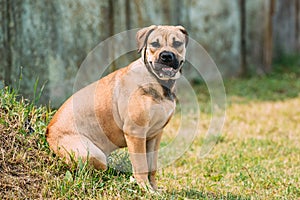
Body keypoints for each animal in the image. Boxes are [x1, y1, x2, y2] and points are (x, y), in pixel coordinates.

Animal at [45, 25, 188, 191]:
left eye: (177, 43)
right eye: (154, 44)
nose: (166, 56)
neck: (158, 82)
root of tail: (48, 131)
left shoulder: (155, 135)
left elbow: (152, 167)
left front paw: (154, 188)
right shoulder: (135, 133)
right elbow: (141, 166)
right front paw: (145, 189)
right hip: (94, 154)